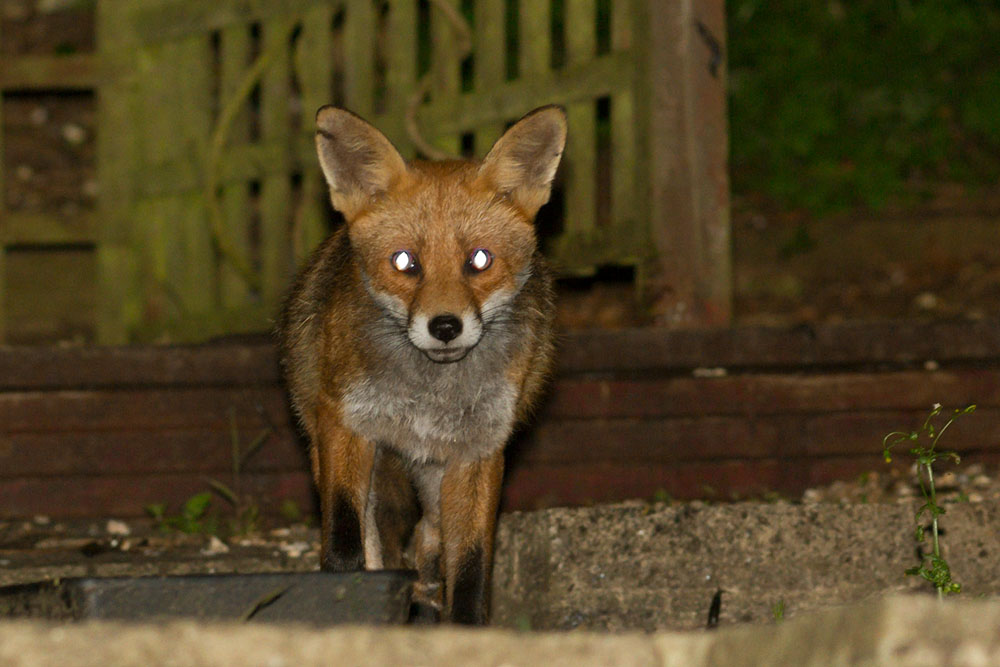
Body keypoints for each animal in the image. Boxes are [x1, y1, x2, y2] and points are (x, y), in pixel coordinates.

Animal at [277, 105, 566, 624]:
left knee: (429, 539)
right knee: (379, 540)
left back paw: (426, 597)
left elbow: (471, 566)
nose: (445, 326)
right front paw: (343, 598)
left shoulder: (479, 452)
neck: (428, 399)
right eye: (405, 262)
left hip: (435, 480)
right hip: (337, 453)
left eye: (479, 260)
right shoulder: (346, 425)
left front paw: (465, 627)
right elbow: (347, 540)